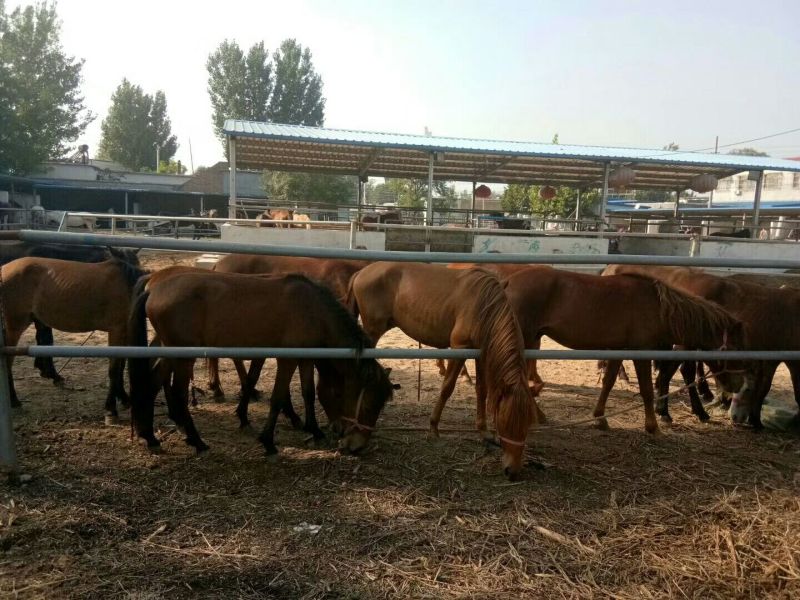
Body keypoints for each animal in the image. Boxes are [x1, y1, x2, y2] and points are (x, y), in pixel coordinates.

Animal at [0, 248, 144, 422]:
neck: (128, 285)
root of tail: (3, 269)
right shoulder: (116, 330)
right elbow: (114, 370)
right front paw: (111, 410)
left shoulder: (123, 332)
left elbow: (121, 367)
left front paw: (124, 399)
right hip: (14, 327)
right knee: (7, 362)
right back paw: (15, 401)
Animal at [127, 270, 396, 455]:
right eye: (369, 404)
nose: (357, 445)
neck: (313, 311)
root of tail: (154, 287)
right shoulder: (287, 360)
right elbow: (277, 398)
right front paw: (268, 441)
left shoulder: (306, 359)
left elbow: (309, 393)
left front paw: (314, 430)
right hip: (183, 357)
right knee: (179, 394)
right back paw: (197, 441)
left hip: (170, 351)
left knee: (153, 383)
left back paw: (151, 437)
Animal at [347, 262, 538, 480]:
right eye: (505, 422)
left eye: (528, 423)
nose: (513, 471)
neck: (483, 306)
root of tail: (361, 271)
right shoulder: (459, 349)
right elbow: (447, 388)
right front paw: (433, 427)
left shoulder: (480, 352)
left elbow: (482, 390)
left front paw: (483, 431)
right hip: (372, 331)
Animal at [503, 267, 745, 434]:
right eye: (733, 348)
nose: (738, 386)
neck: (657, 308)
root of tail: (508, 281)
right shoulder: (641, 352)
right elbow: (646, 389)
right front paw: (652, 426)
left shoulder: (618, 350)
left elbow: (608, 383)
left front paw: (600, 418)